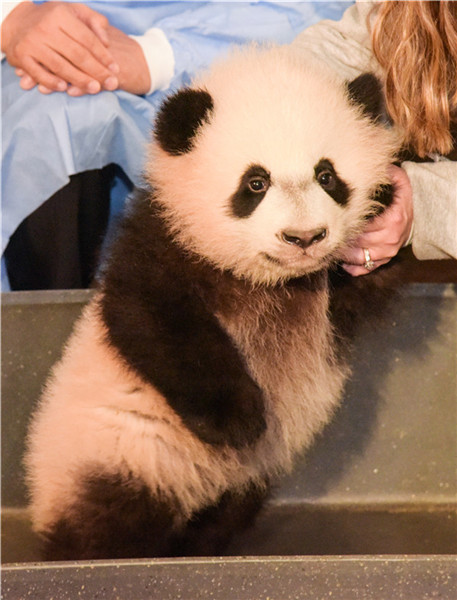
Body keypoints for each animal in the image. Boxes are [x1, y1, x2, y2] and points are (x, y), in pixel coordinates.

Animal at [25, 44, 400, 560]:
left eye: (327, 175)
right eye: (255, 183)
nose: (304, 238)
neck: (271, 280)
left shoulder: (326, 301)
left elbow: (362, 291)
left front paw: (387, 208)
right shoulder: (165, 243)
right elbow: (155, 321)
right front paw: (238, 420)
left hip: (236, 487)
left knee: (222, 514)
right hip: (118, 453)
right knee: (107, 525)